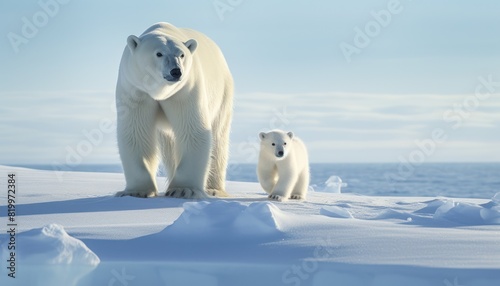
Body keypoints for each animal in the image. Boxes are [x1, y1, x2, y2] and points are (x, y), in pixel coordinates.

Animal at [116, 22, 233, 199]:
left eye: (182, 54)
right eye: (159, 53)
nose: (176, 71)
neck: (160, 92)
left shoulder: (185, 91)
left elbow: (193, 131)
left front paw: (183, 190)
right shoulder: (136, 91)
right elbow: (136, 133)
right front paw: (136, 192)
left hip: (223, 94)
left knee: (218, 137)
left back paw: (214, 189)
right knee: (170, 144)